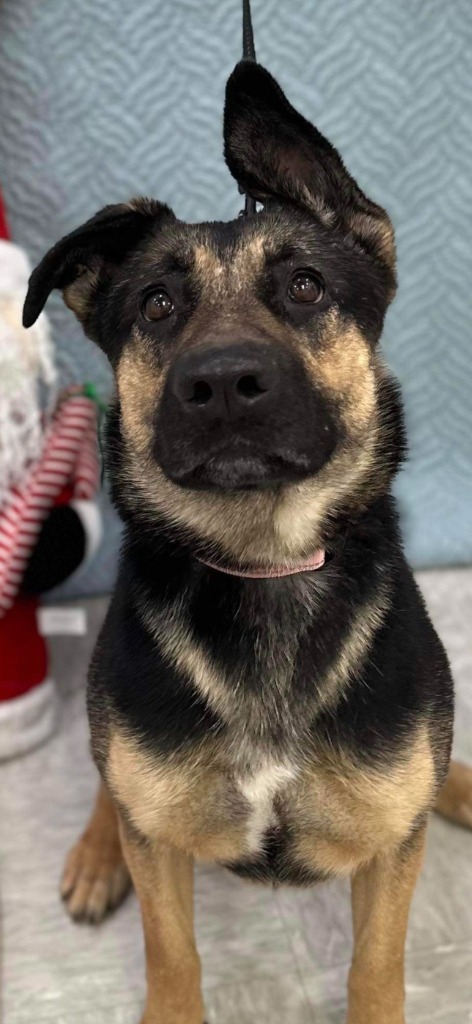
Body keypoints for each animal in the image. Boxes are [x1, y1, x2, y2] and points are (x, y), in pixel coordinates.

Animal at [24, 64, 470, 1024]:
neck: (266, 563)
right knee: (106, 781)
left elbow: (376, 968)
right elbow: (172, 956)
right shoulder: (160, 843)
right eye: (156, 305)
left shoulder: (390, 856)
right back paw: (96, 853)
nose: (223, 382)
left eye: (305, 286)